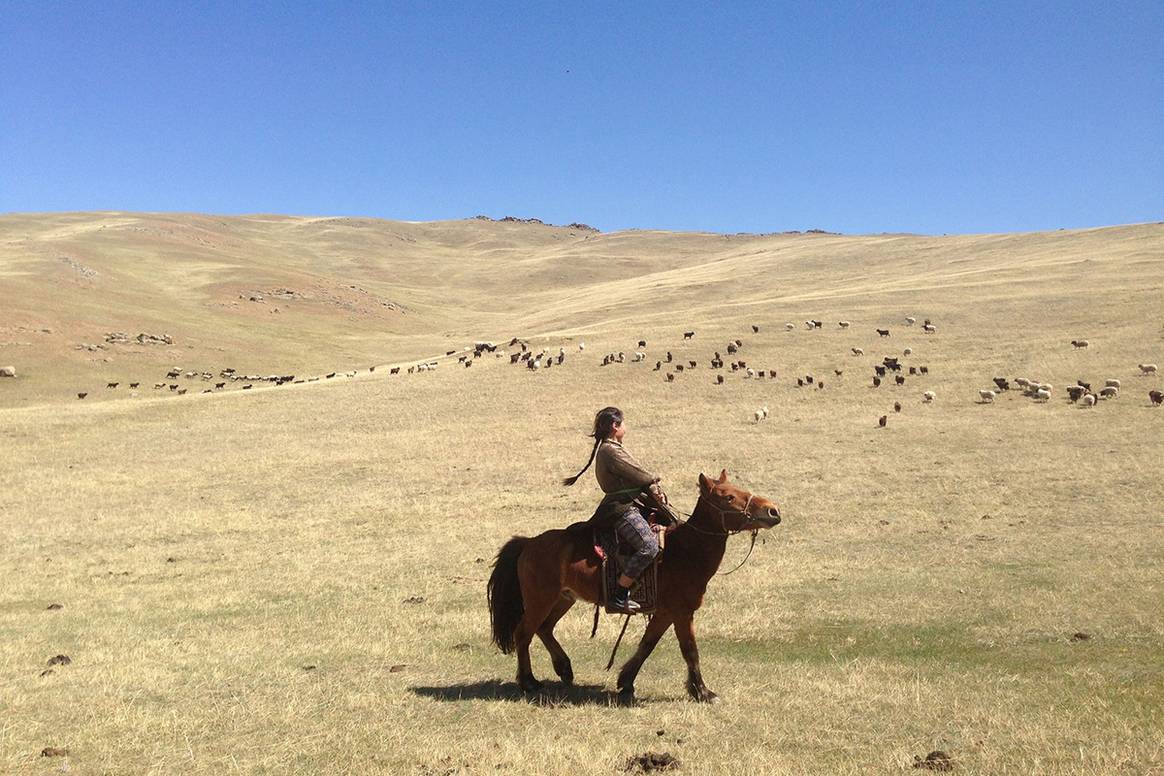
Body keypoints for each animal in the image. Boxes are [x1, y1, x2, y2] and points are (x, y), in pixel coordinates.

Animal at [488, 470, 782, 702]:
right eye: (728, 497)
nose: (773, 510)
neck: (685, 551)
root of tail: (528, 543)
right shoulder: (682, 613)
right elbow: (690, 650)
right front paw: (703, 692)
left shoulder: (664, 613)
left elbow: (647, 645)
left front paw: (626, 682)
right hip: (540, 599)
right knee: (524, 633)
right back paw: (529, 681)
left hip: (563, 599)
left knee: (544, 629)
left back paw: (564, 669)